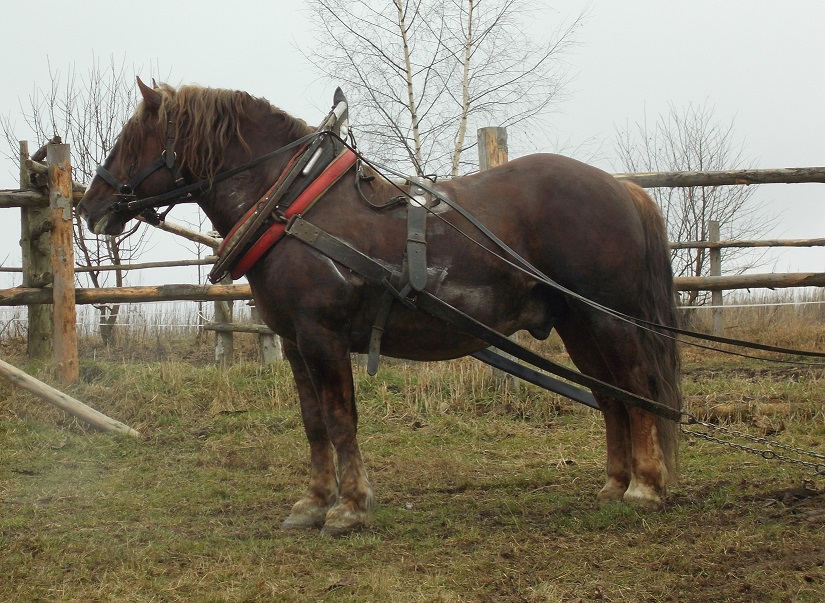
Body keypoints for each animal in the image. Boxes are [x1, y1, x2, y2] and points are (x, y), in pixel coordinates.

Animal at [79, 80, 684, 536]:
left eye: (134, 139)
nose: (90, 206)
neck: (293, 204)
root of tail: (622, 189)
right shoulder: (296, 342)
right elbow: (313, 423)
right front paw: (313, 502)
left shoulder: (322, 336)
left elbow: (341, 419)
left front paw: (349, 507)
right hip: (578, 324)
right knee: (612, 398)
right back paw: (614, 484)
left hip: (608, 319)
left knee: (638, 390)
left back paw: (645, 487)